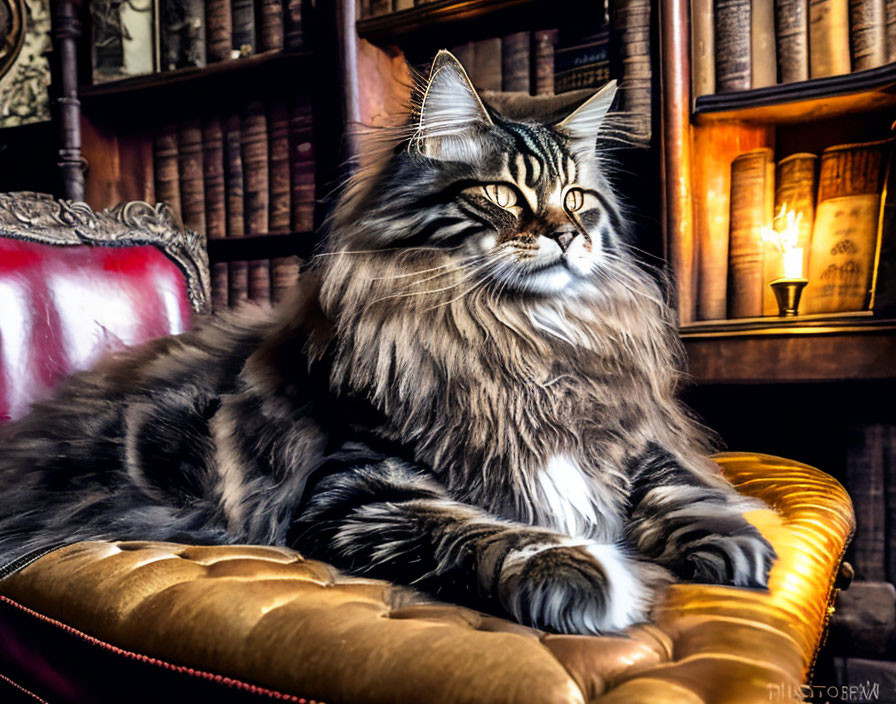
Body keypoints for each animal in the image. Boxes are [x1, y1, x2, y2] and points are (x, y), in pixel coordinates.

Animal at [0, 52, 772, 636]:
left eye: (578, 200)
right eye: (504, 195)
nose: (567, 234)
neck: (515, 336)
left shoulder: (621, 435)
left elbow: (677, 486)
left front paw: (734, 546)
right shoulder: (355, 488)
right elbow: (479, 532)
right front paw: (582, 573)